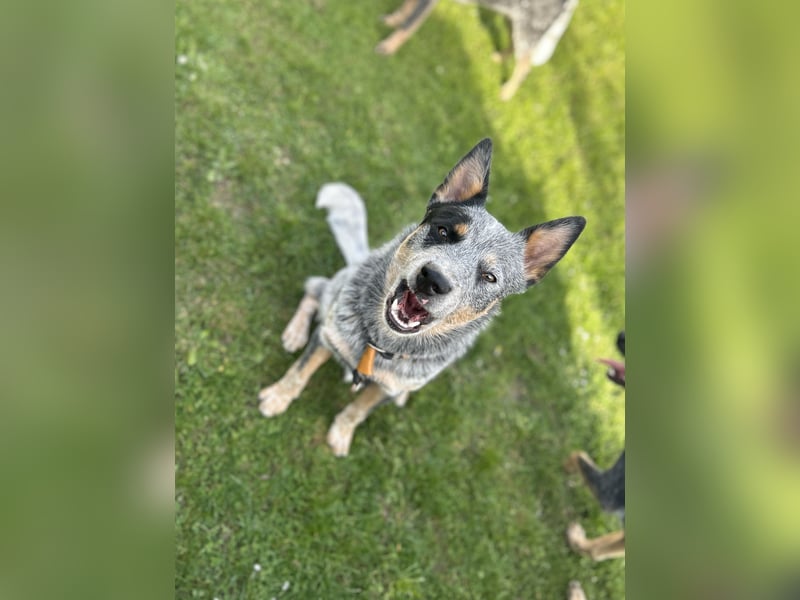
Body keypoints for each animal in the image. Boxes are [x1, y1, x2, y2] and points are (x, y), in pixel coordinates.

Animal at [258, 138, 586, 456]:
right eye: (442, 231)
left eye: (490, 277)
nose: (434, 279)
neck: (379, 345)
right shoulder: (329, 336)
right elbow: (299, 372)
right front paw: (277, 397)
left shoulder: (385, 389)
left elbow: (358, 410)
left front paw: (341, 434)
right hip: (331, 293)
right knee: (314, 289)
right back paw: (295, 332)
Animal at [376, 0, 579, 100]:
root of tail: (570, 3)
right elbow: (407, 9)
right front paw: (394, 19)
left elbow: (410, 23)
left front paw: (389, 46)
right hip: (513, 21)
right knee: (515, 48)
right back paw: (499, 58)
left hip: (527, 30)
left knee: (525, 63)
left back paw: (507, 92)